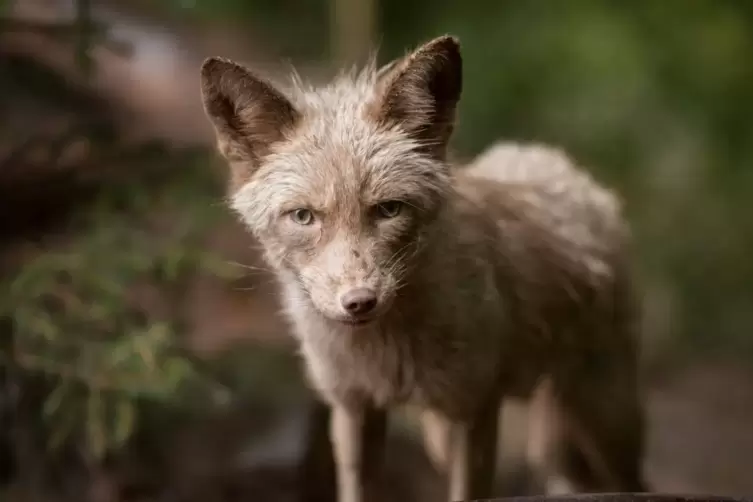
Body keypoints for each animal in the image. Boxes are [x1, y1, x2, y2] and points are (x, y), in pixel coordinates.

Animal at [200, 36, 648, 502]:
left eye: (389, 210)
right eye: (303, 217)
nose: (359, 302)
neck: (385, 355)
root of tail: (556, 162)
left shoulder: (476, 408)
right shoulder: (354, 408)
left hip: (604, 417)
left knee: (633, 481)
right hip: (447, 436)